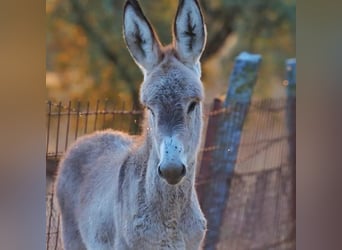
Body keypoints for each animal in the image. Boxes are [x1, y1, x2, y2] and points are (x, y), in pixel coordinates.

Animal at [55, 0, 208, 248]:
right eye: (149, 108)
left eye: (193, 104)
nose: (171, 169)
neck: (171, 221)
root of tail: (93, 135)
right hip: (72, 238)